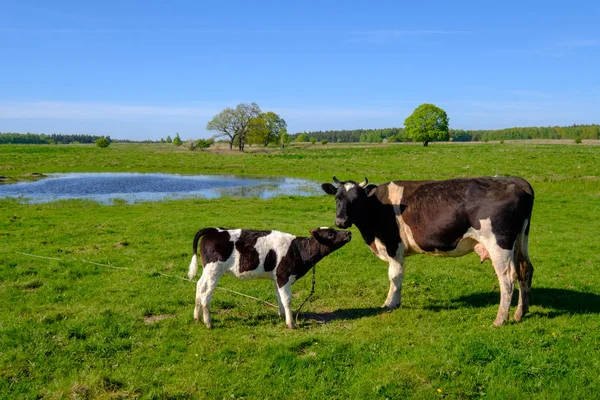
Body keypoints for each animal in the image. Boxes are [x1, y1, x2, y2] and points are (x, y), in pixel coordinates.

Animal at [188, 227, 352, 330]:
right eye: (330, 233)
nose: (349, 232)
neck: (299, 250)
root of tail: (213, 230)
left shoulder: (276, 278)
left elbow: (279, 298)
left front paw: (282, 316)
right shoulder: (283, 276)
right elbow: (287, 300)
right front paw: (291, 324)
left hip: (207, 270)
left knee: (199, 286)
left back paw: (197, 317)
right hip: (214, 270)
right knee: (206, 295)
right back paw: (208, 323)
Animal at [324, 177, 536, 326]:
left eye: (356, 199)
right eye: (337, 198)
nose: (341, 221)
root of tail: (517, 182)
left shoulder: (394, 247)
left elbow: (395, 276)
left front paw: (390, 303)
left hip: (499, 244)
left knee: (507, 278)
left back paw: (500, 319)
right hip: (520, 240)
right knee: (525, 269)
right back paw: (520, 313)